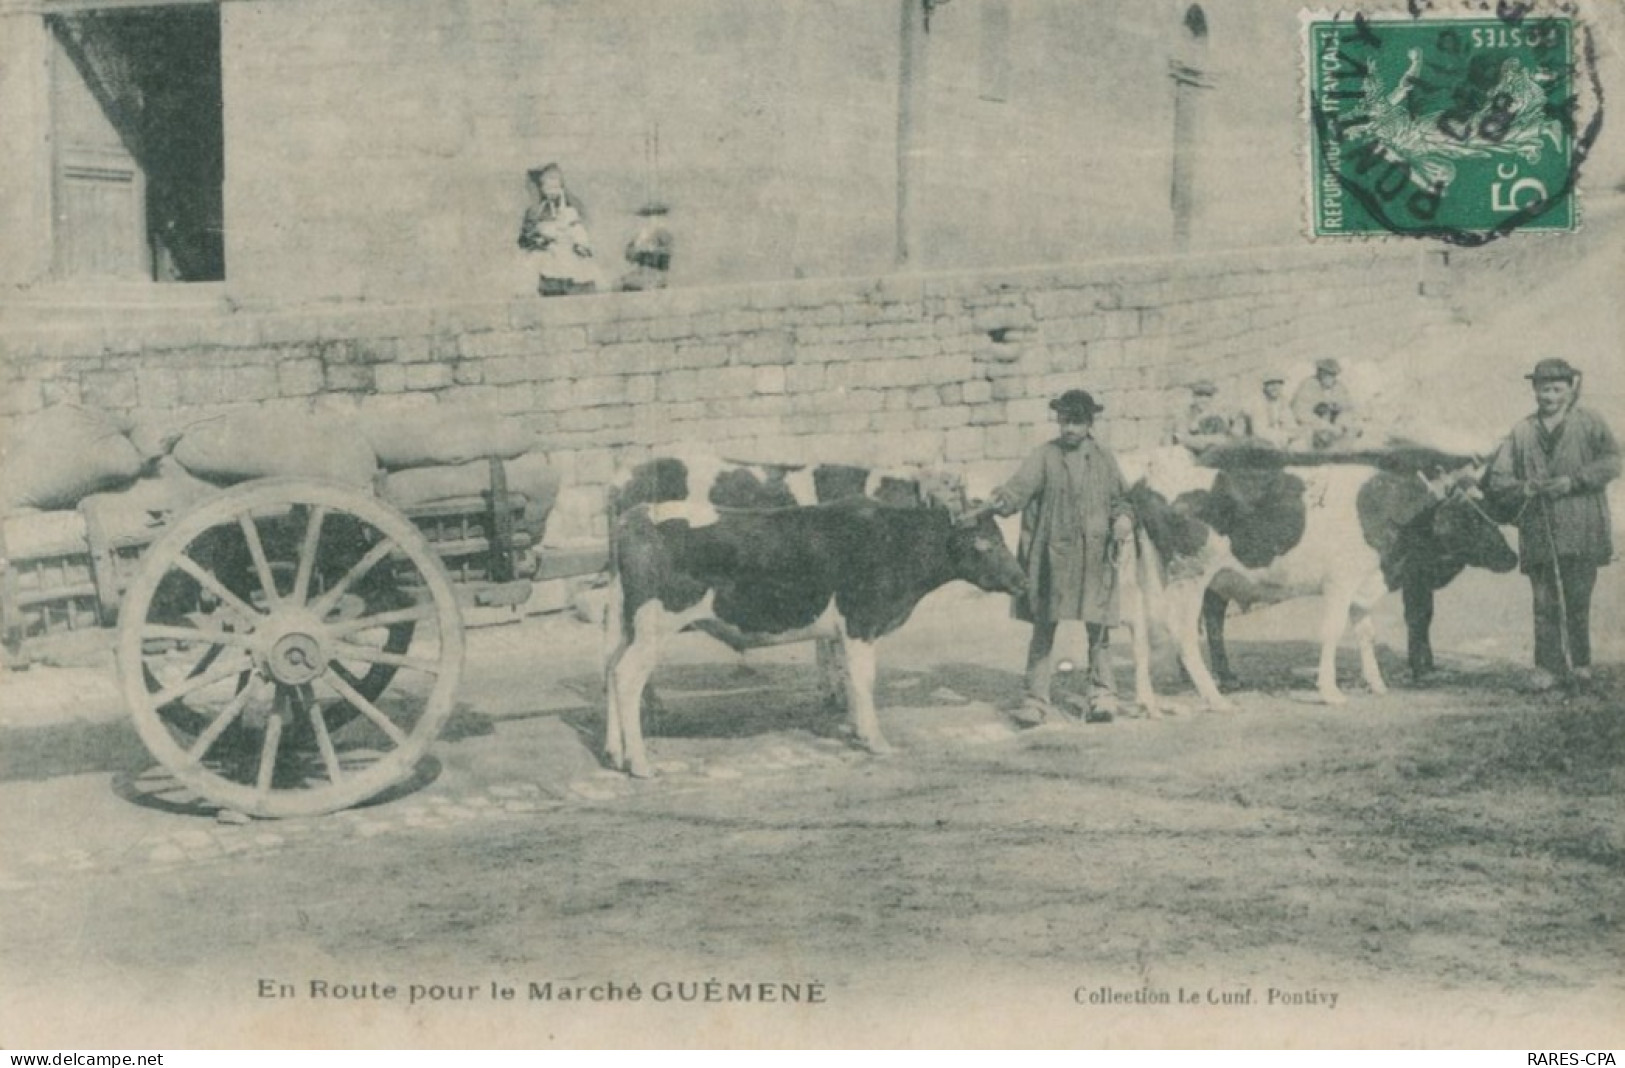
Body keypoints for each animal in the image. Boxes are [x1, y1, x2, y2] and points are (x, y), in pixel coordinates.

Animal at [604, 451, 1020, 773]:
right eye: (983, 544)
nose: (1020, 581)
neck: (890, 537)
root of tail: (636, 516)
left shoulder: (844, 629)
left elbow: (848, 676)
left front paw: (854, 726)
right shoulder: (860, 622)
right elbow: (863, 679)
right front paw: (875, 739)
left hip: (626, 626)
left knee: (610, 670)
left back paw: (614, 752)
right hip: (654, 627)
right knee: (627, 677)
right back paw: (640, 762)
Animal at [1111, 442, 1514, 708]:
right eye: (1471, 518)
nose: (1513, 556)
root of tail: (1146, 480)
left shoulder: (1366, 582)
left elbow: (1366, 633)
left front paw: (1377, 683)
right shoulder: (1341, 582)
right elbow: (1334, 631)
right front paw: (1330, 691)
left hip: (1153, 575)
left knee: (1144, 629)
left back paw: (1150, 701)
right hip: (1190, 576)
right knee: (1183, 630)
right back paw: (1214, 696)